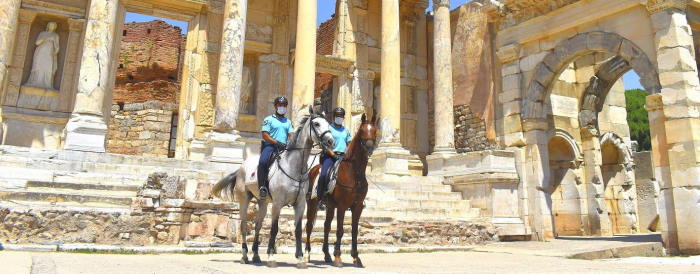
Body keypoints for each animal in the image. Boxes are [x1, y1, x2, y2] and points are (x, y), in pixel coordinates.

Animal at [212, 106, 334, 268]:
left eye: (328, 124)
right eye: (316, 124)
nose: (331, 141)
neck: (294, 168)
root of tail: (240, 169)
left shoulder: (300, 204)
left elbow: (298, 230)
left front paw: (300, 258)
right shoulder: (277, 204)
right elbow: (274, 228)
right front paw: (271, 256)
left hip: (262, 202)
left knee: (257, 226)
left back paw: (256, 255)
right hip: (244, 200)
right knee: (243, 226)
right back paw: (245, 255)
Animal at [302, 113, 374, 268]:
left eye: (375, 130)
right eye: (362, 131)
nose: (370, 148)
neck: (355, 172)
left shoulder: (357, 207)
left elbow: (354, 231)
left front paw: (356, 258)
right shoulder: (342, 206)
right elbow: (340, 230)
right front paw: (338, 257)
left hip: (330, 206)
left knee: (326, 226)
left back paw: (327, 255)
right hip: (312, 203)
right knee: (309, 226)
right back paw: (307, 254)